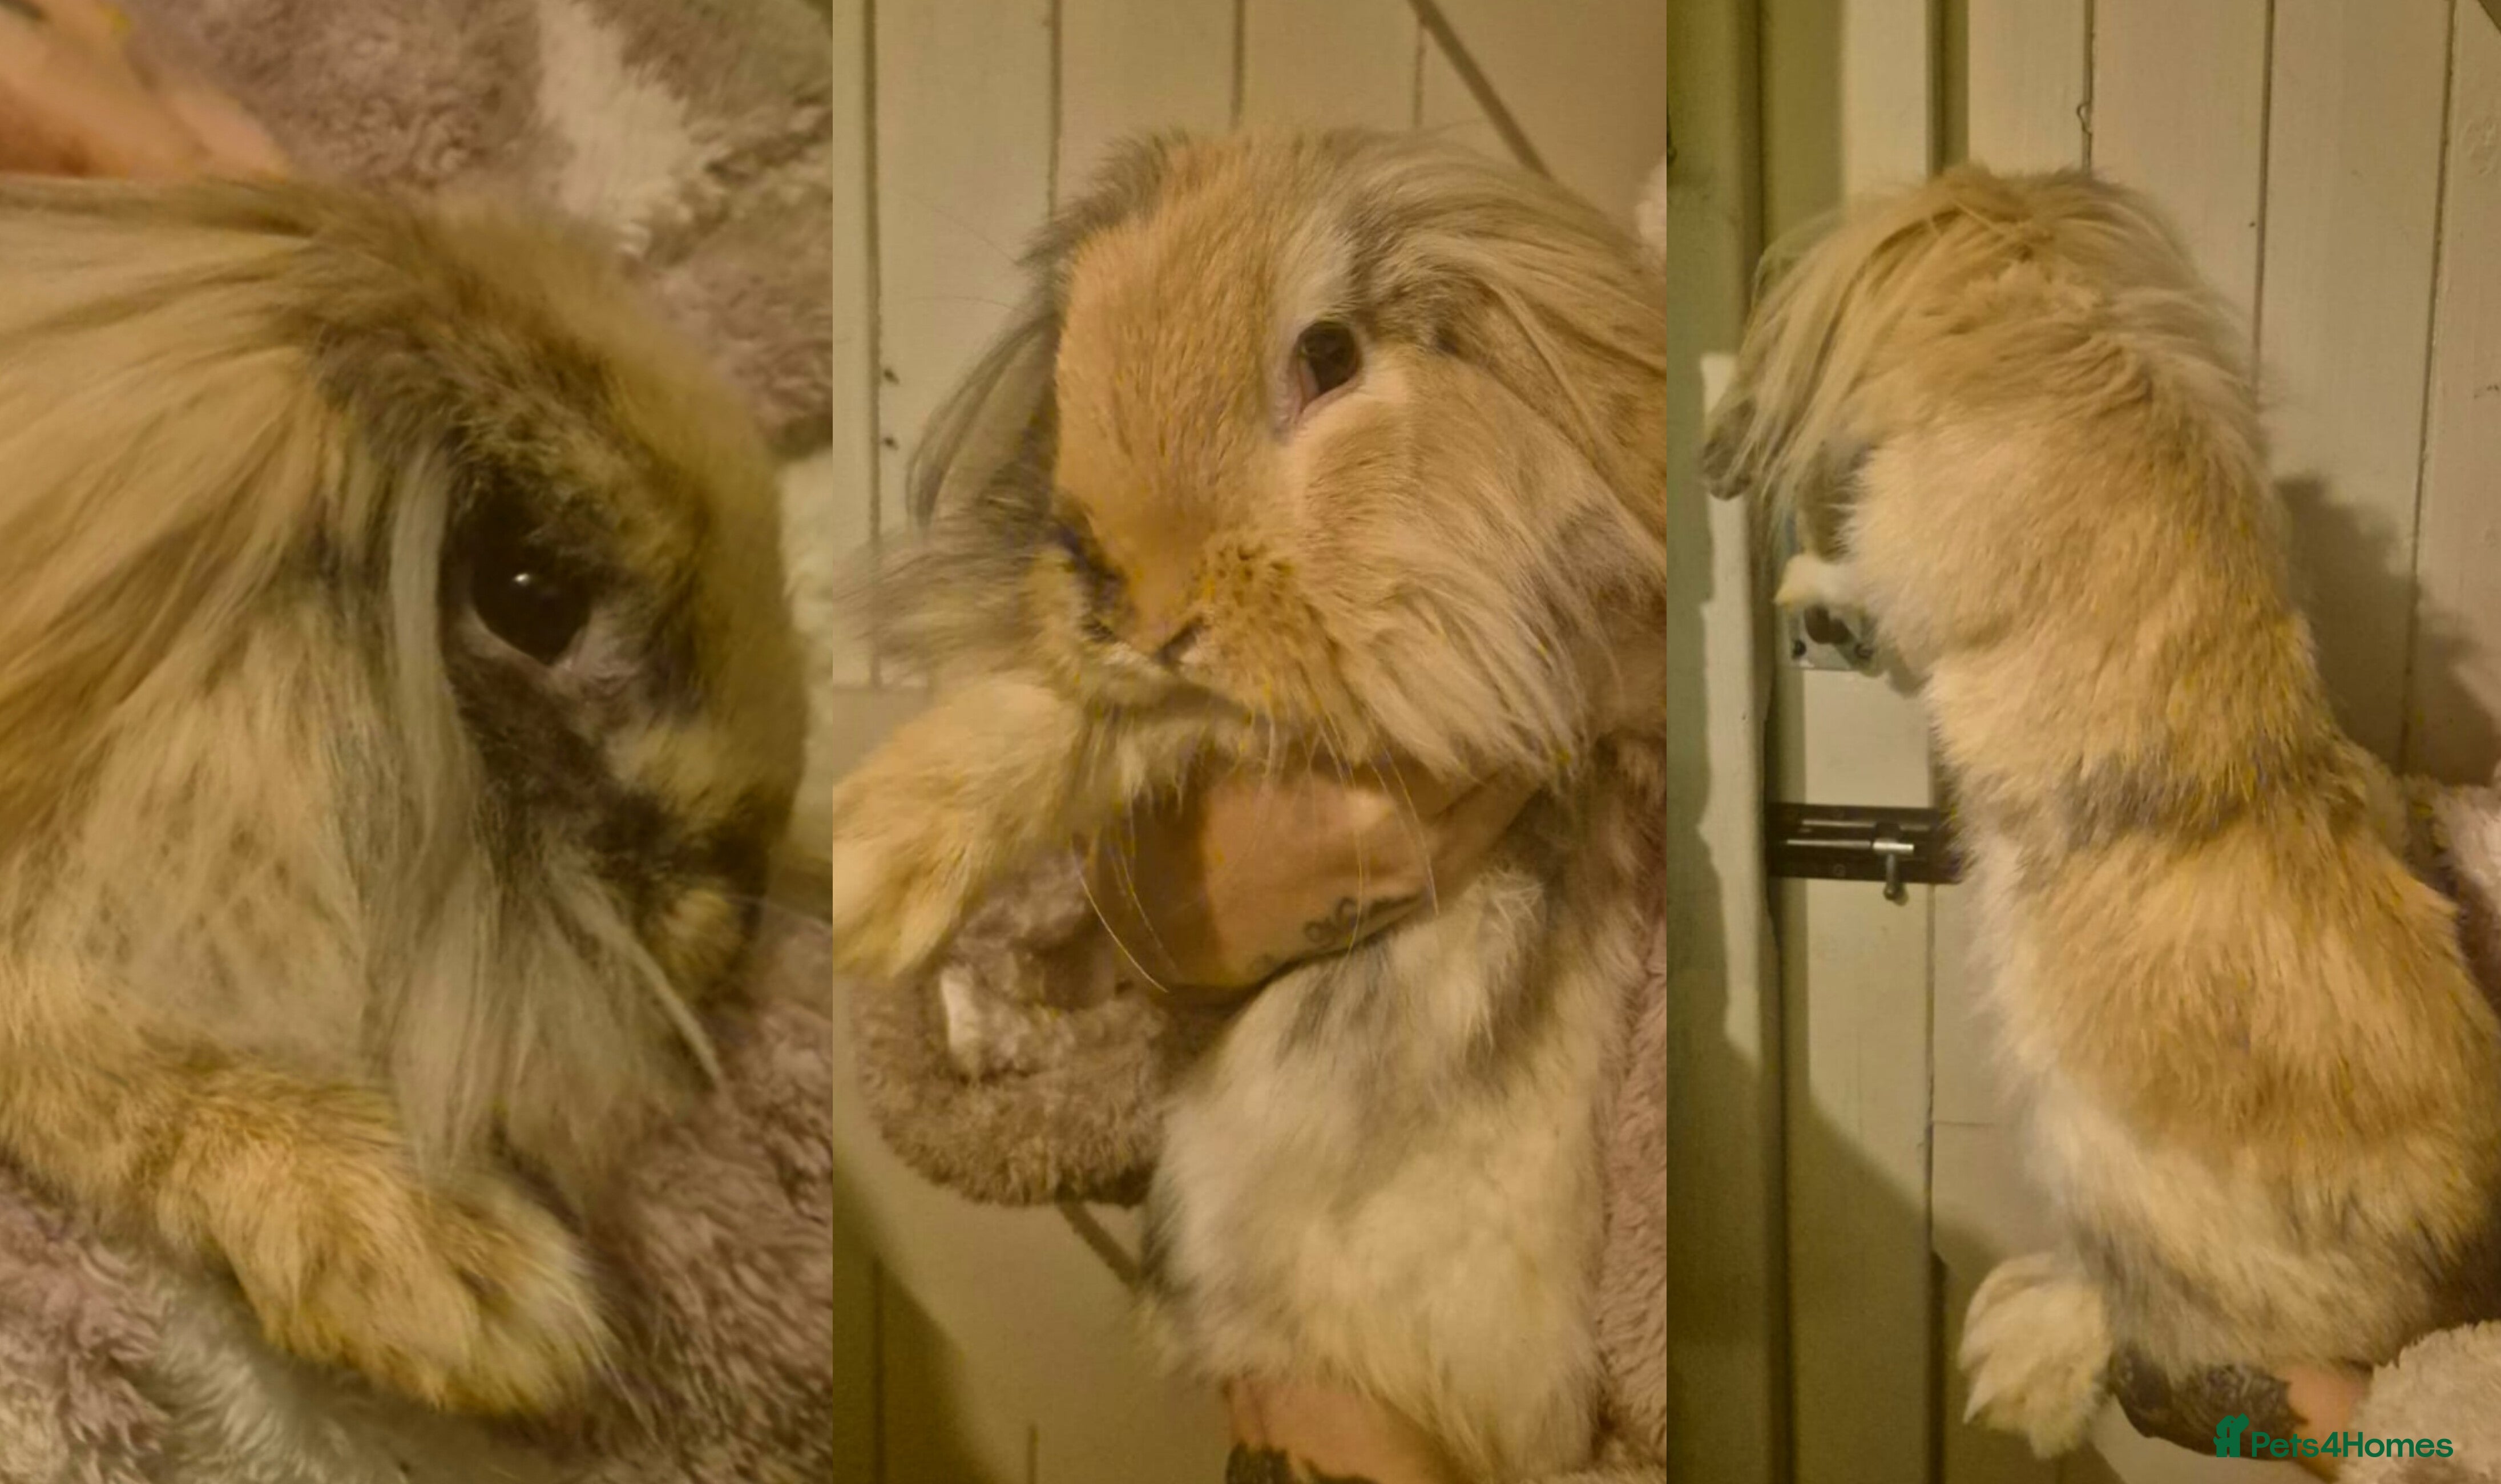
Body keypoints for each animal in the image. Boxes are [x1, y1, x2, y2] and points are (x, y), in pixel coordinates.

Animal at [1703, 162, 2501, 1456]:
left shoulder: (1910, 564)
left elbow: (1868, 582)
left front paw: (1802, 582)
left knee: (2174, 1320)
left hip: (2112, 1175)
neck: (2056, 336)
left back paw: (2020, 1355)